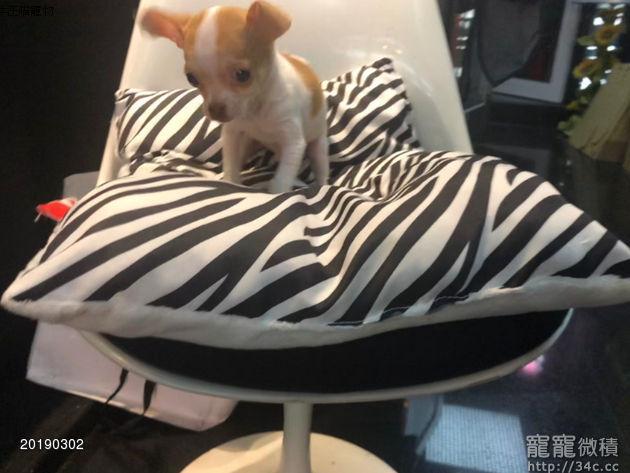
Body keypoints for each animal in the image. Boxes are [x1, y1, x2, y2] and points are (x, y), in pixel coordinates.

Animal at [141, 1, 329, 193]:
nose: (215, 111)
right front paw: (230, 182)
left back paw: (324, 184)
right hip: (249, 143)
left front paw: (276, 193)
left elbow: (281, 181)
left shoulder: (293, 143)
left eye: (242, 75)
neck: (255, 110)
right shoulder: (233, 134)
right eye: (191, 79)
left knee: (321, 168)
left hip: (318, 147)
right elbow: (231, 165)